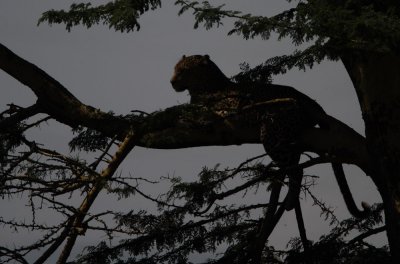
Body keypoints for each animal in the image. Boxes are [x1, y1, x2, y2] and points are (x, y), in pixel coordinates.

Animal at [170, 54, 370, 217]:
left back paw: (290, 202)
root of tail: (308, 100)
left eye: (183, 70)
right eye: (175, 69)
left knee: (297, 170)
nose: (171, 81)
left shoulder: (210, 109)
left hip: (272, 133)